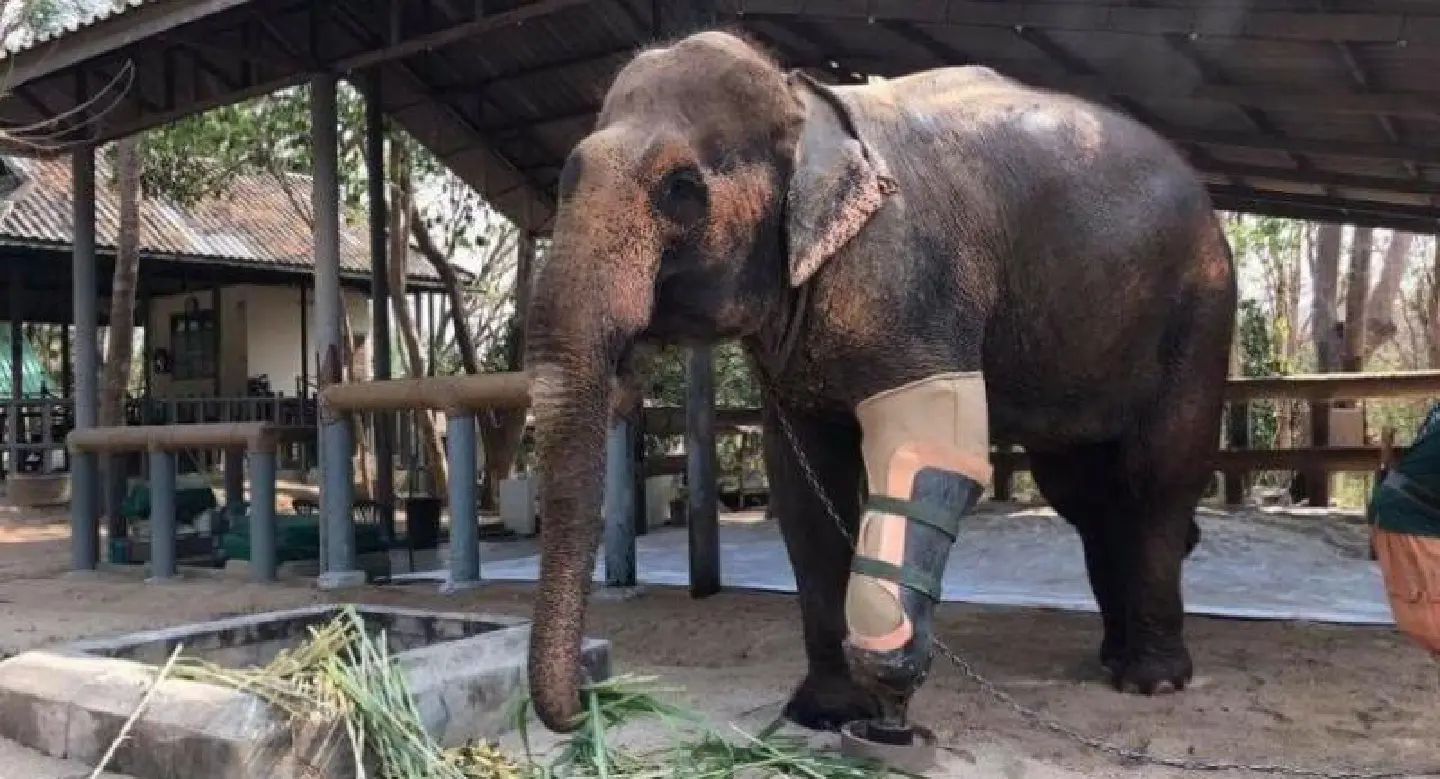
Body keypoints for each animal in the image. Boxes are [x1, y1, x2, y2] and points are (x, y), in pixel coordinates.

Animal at [523, 29, 1236, 734]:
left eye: (678, 187)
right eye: (567, 177)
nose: (589, 699)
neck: (806, 101)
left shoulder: (914, 282)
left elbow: (929, 449)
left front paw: (891, 681)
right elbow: (803, 485)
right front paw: (828, 712)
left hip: (1200, 311)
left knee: (1156, 478)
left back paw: (1152, 681)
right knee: (1084, 493)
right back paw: (1115, 658)